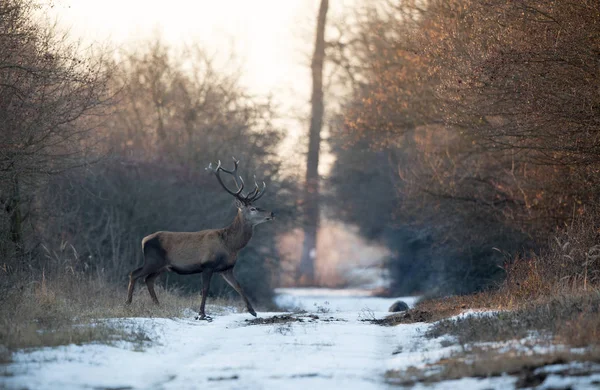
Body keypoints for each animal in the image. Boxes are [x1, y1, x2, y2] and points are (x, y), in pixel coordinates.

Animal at [128, 158, 276, 320]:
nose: (272, 213)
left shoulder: (226, 268)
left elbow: (238, 286)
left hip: (163, 266)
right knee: (134, 274)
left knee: (148, 279)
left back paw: (157, 305)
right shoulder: (207, 265)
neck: (231, 245)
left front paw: (252, 311)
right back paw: (128, 303)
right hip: (153, 260)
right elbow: (205, 289)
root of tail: (144, 240)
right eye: (253, 209)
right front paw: (202, 314)